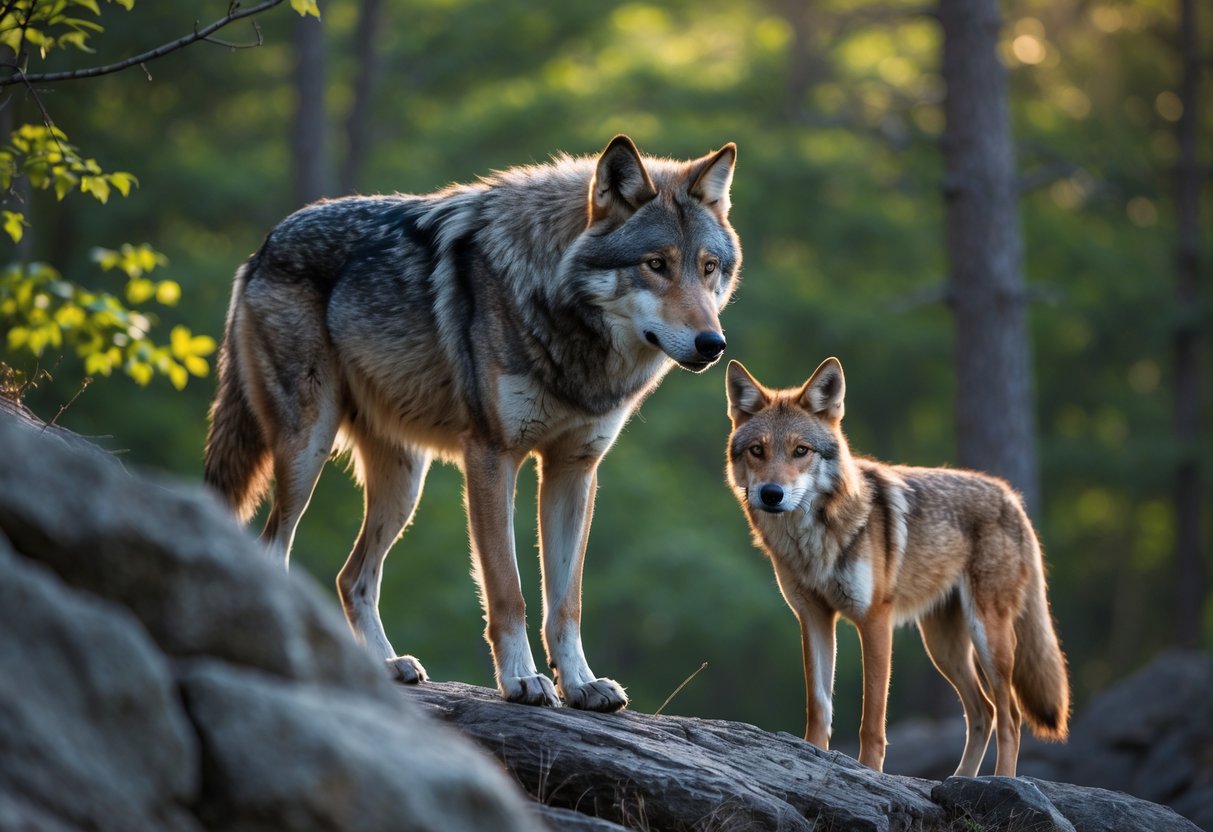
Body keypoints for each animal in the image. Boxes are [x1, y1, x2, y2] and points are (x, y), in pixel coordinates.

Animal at [204, 135, 741, 712]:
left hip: (404, 485)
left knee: (352, 577)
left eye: (708, 267)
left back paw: (387, 665)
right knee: (275, 548)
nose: (714, 344)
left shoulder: (574, 469)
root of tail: (266, 243)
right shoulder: (491, 456)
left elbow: (566, 602)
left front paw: (581, 684)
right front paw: (522, 681)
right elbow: (509, 591)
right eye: (656, 264)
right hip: (308, 450)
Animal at [725, 357, 1068, 776]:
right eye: (758, 450)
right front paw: (812, 755)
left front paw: (869, 773)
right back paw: (959, 781)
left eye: (800, 450)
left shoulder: (875, 620)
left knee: (1010, 716)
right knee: (983, 712)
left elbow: (872, 720)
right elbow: (819, 708)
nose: (771, 494)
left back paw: (1000, 781)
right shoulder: (813, 617)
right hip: (943, 649)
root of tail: (1011, 497)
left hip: (988, 637)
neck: (814, 540)